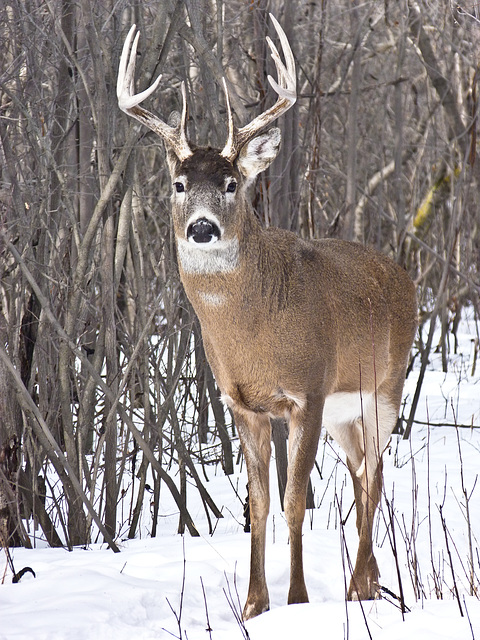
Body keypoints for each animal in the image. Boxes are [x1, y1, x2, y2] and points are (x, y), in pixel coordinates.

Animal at [116, 16, 416, 620]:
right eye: (179, 184)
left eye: (232, 184)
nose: (201, 227)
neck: (253, 334)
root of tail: (407, 278)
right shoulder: (242, 403)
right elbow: (257, 506)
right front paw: (255, 606)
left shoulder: (309, 391)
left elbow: (296, 500)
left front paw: (296, 600)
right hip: (348, 414)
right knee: (361, 474)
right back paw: (370, 583)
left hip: (384, 391)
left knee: (374, 476)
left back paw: (358, 587)